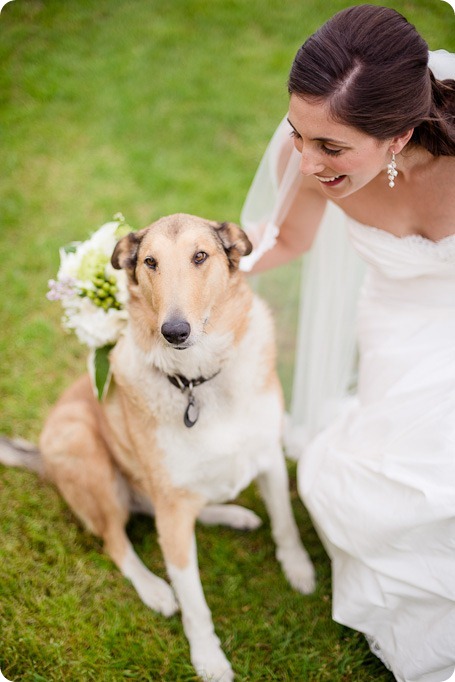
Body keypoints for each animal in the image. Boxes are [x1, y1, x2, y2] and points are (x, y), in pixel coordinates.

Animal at [0, 214, 316, 680]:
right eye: (150, 262)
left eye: (200, 256)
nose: (174, 331)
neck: (200, 381)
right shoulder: (171, 502)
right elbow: (194, 600)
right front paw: (208, 658)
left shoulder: (269, 457)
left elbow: (286, 524)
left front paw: (298, 569)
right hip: (85, 448)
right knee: (117, 542)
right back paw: (155, 589)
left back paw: (233, 514)